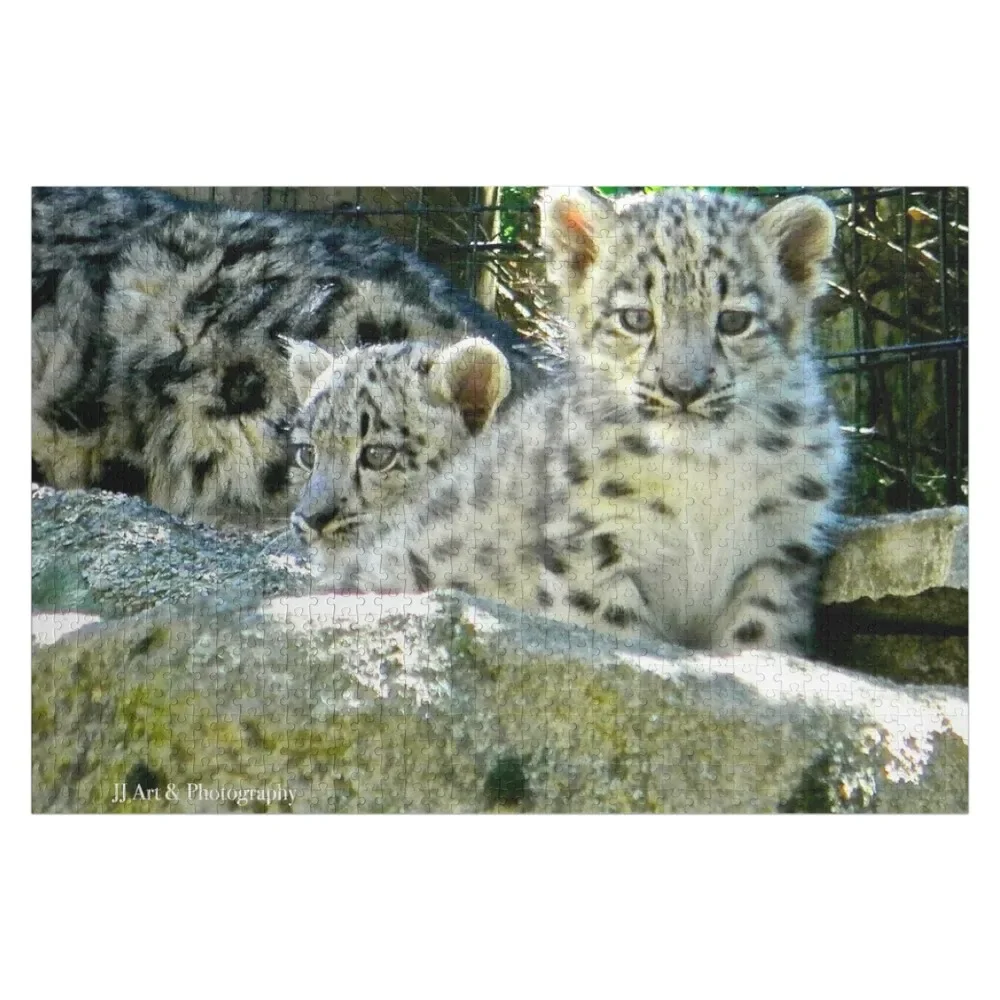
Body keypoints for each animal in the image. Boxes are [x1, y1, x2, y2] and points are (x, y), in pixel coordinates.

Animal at [310, 186, 846, 655]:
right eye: (636, 318)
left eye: (734, 320)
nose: (683, 389)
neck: (701, 476)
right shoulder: (593, 546)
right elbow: (616, 634)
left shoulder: (779, 552)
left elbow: (757, 640)